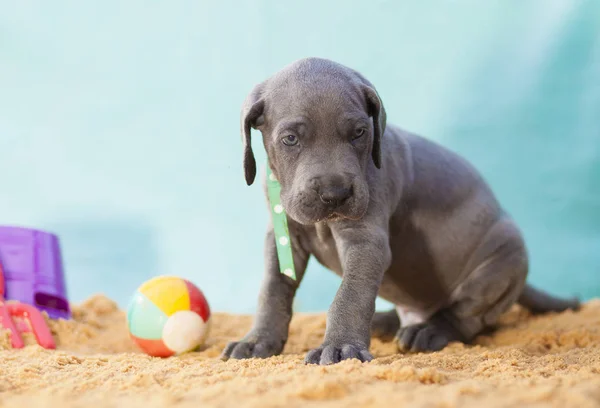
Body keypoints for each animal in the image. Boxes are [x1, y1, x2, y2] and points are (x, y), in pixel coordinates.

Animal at [221, 56, 580, 364]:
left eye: (359, 132)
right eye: (290, 139)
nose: (335, 195)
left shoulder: (366, 241)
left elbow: (350, 296)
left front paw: (339, 347)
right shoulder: (282, 237)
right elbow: (272, 291)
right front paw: (258, 341)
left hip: (503, 256)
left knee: (465, 317)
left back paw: (427, 330)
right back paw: (386, 321)